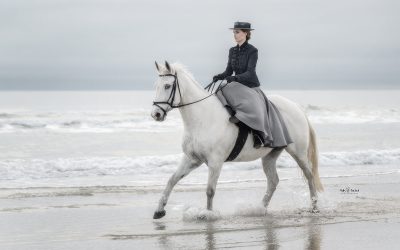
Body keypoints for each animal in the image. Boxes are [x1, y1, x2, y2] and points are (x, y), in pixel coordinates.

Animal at [152, 60, 324, 219]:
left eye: (167, 86)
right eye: (156, 86)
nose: (156, 114)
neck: (202, 118)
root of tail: (296, 107)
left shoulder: (215, 162)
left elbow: (210, 190)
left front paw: (208, 214)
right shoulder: (192, 159)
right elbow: (172, 180)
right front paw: (159, 210)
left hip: (298, 153)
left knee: (309, 176)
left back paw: (314, 207)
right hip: (270, 155)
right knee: (273, 181)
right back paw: (259, 209)